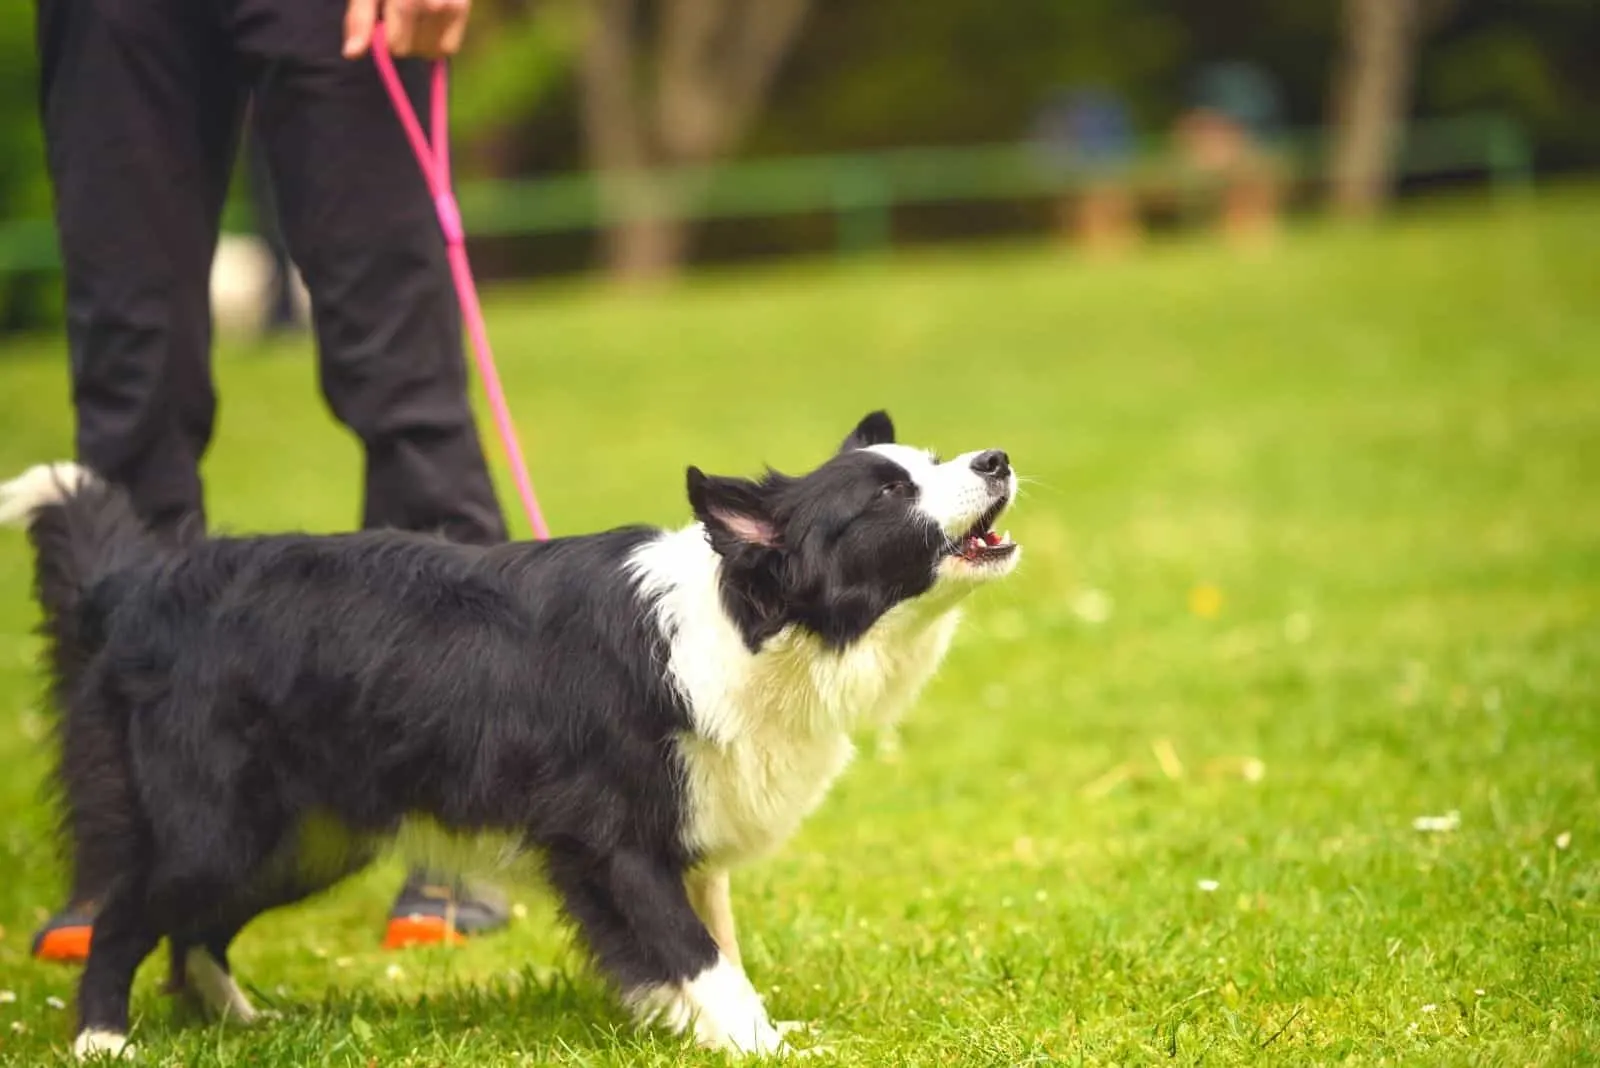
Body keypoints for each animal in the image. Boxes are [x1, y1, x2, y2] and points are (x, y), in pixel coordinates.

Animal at [0, 412, 1017, 1055]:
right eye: (885, 493)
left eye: (934, 460)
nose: (999, 459)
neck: (753, 624)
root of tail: (139, 585)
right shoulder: (613, 840)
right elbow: (699, 954)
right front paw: (759, 1043)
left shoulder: (688, 830)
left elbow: (711, 945)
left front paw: (714, 1030)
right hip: (219, 824)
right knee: (125, 916)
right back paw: (102, 1040)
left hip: (307, 837)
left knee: (195, 932)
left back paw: (242, 1025)